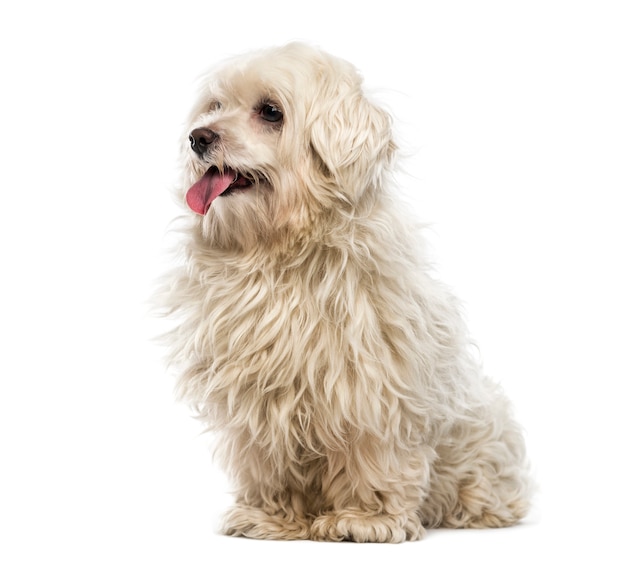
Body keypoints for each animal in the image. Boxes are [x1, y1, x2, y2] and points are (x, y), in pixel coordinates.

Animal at [160, 41, 528, 540]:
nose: (198, 137)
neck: (280, 251)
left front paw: (366, 518)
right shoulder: (261, 389)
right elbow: (268, 456)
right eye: (215, 106)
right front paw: (272, 515)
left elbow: (375, 453)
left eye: (271, 112)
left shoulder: (372, 385)